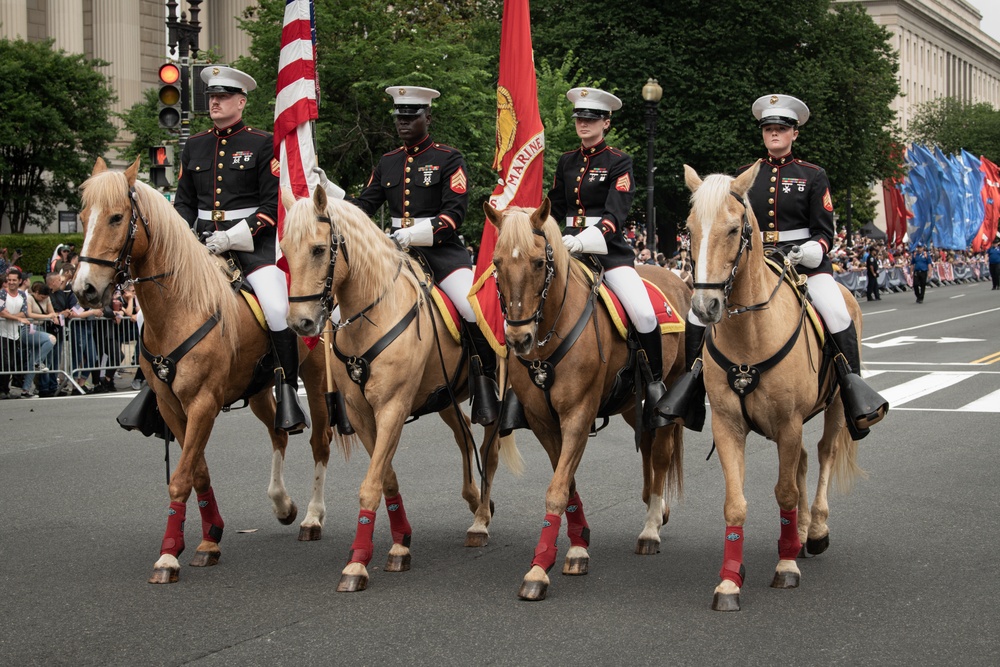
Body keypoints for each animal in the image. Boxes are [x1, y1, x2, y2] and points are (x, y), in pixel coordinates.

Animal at [74, 157, 338, 584]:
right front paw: (209, 537)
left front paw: (168, 556)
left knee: (320, 442)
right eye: (82, 217)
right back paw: (282, 504)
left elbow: (181, 477)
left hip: (313, 380)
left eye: (116, 217)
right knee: (278, 435)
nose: (84, 290)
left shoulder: (203, 404)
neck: (180, 305)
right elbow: (196, 470)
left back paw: (312, 518)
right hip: (259, 389)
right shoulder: (172, 407)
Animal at [278, 185, 520, 592]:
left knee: (488, 451)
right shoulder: (362, 414)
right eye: (283, 248)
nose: (301, 323)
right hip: (445, 399)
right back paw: (475, 501)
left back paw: (480, 521)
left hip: (493, 398)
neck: (374, 313)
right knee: (463, 438)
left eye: (318, 249)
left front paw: (357, 563)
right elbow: (386, 478)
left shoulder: (392, 407)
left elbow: (371, 483)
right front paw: (400, 542)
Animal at [488, 201, 692, 604]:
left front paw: (538, 569)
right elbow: (566, 485)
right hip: (630, 405)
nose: (519, 339)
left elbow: (556, 489)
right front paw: (577, 547)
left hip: (666, 395)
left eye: (539, 262)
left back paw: (650, 528)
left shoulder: (578, 416)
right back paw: (654, 507)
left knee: (660, 455)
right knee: (647, 447)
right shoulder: (544, 422)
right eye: (497, 262)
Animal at [684, 164, 864, 612]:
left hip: (835, 408)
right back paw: (798, 534)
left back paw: (814, 531)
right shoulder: (728, 425)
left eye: (734, 229)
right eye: (689, 229)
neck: (750, 333)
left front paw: (785, 567)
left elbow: (784, 493)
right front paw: (729, 581)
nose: (705, 308)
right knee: (803, 461)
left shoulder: (788, 423)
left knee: (823, 454)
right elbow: (735, 504)